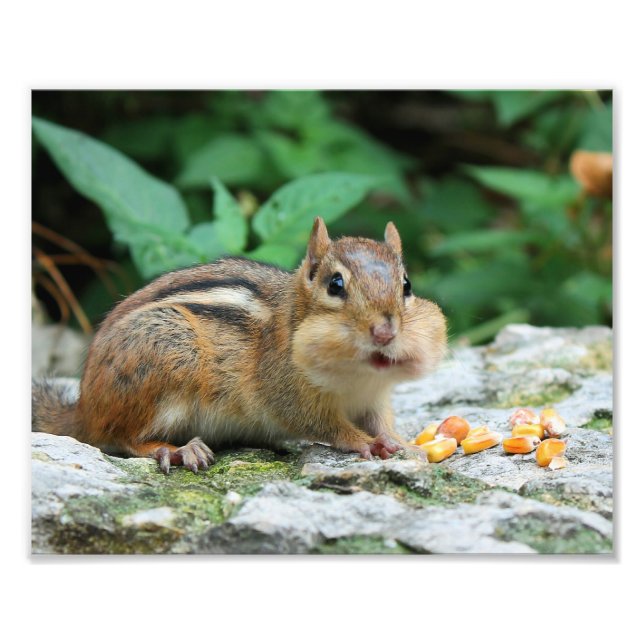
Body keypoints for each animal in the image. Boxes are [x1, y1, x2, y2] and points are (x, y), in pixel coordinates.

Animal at [32, 218, 447, 473]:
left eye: (406, 285)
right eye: (335, 285)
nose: (385, 332)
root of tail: (83, 407)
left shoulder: (374, 397)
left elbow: (382, 422)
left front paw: (403, 444)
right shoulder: (289, 392)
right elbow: (325, 426)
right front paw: (364, 443)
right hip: (166, 348)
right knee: (119, 437)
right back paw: (176, 449)